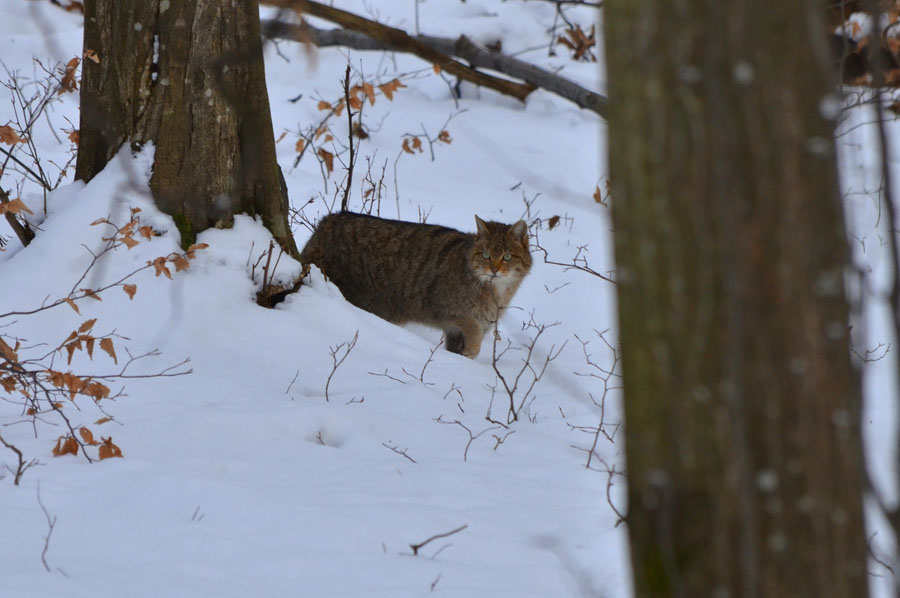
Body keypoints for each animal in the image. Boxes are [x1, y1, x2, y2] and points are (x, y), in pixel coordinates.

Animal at [298, 213, 532, 358]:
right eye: (485, 255)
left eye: (507, 257)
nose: (494, 269)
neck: (495, 293)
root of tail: (327, 222)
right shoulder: (442, 308)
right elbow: (473, 327)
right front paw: (473, 349)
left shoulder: (457, 331)